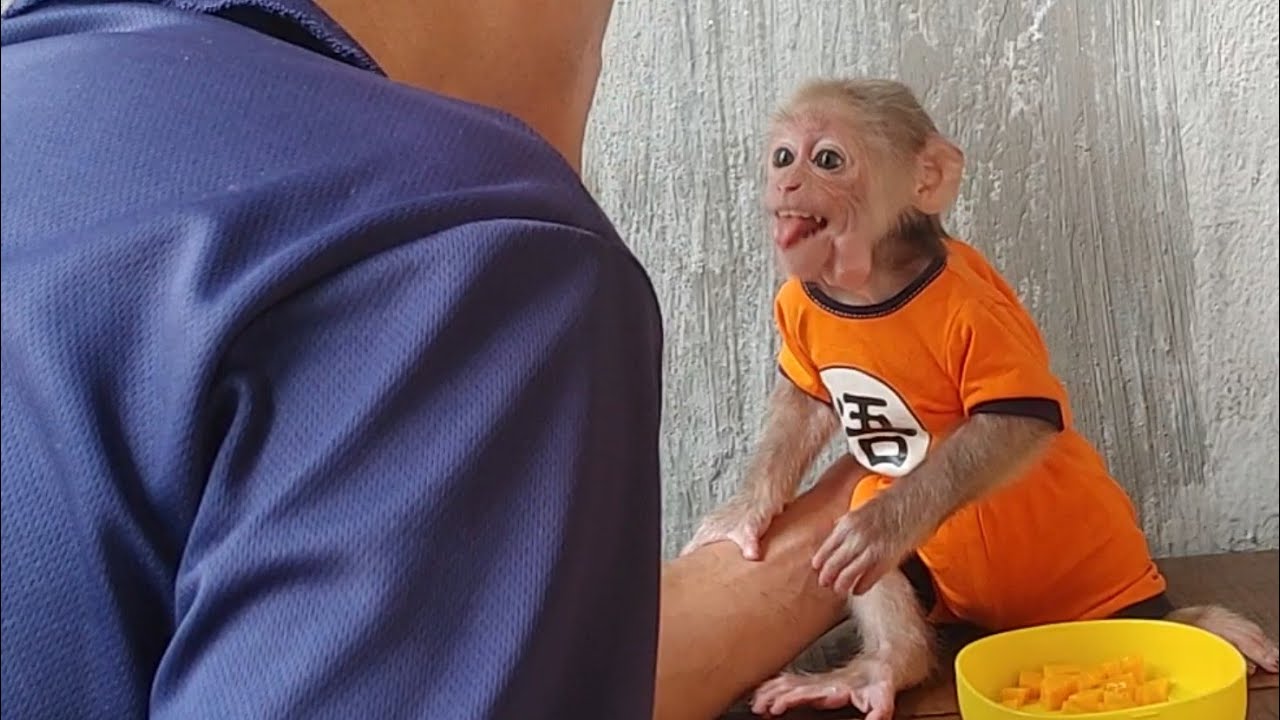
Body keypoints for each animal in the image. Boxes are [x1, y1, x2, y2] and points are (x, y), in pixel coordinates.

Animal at [680, 77, 1280, 720]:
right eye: (783, 156)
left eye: (827, 161)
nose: (787, 183)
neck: (872, 287)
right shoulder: (799, 301)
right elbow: (803, 407)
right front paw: (747, 510)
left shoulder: (976, 312)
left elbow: (1013, 424)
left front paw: (878, 529)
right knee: (871, 505)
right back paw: (886, 667)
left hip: (1107, 582)